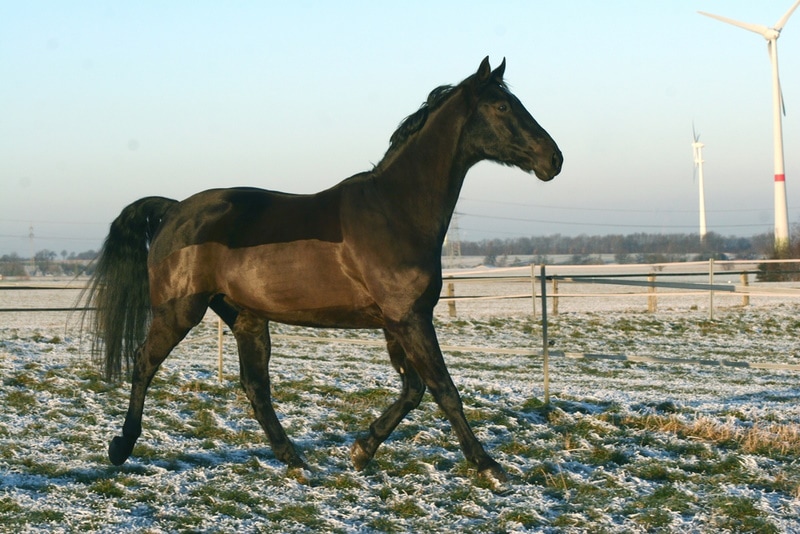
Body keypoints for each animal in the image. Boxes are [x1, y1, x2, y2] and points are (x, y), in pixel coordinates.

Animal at [81, 57, 564, 490]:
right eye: (501, 106)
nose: (553, 159)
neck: (395, 211)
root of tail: (175, 209)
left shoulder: (396, 322)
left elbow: (412, 390)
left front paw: (362, 450)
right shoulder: (410, 319)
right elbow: (444, 390)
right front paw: (490, 468)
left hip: (247, 318)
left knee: (256, 388)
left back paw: (296, 462)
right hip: (180, 311)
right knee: (144, 363)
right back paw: (121, 447)